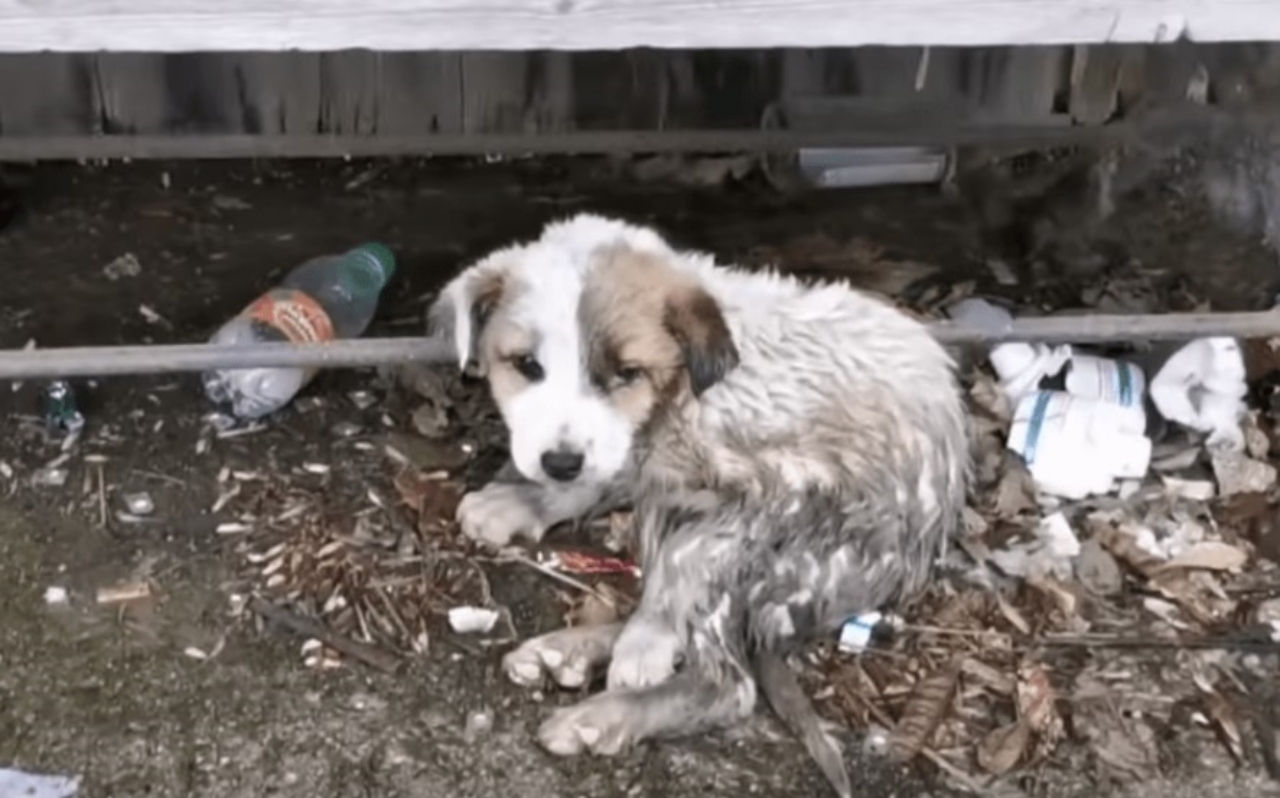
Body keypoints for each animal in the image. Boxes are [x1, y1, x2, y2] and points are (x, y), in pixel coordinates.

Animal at [430, 213, 967, 798]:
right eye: (526, 365)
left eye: (627, 372)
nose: (560, 462)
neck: (682, 392)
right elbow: (617, 473)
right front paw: (526, 499)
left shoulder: (785, 488)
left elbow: (686, 561)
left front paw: (646, 642)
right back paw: (566, 653)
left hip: (808, 552)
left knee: (727, 678)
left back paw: (605, 711)